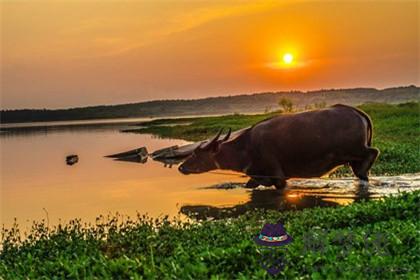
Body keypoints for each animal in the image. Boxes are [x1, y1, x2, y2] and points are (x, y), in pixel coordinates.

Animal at [178, 105, 380, 190]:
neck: (246, 147)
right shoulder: (258, 175)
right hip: (351, 155)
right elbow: (250, 185)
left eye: (196, 154)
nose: (181, 167)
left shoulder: (278, 177)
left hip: (354, 149)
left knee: (372, 153)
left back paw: (363, 172)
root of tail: (356, 112)